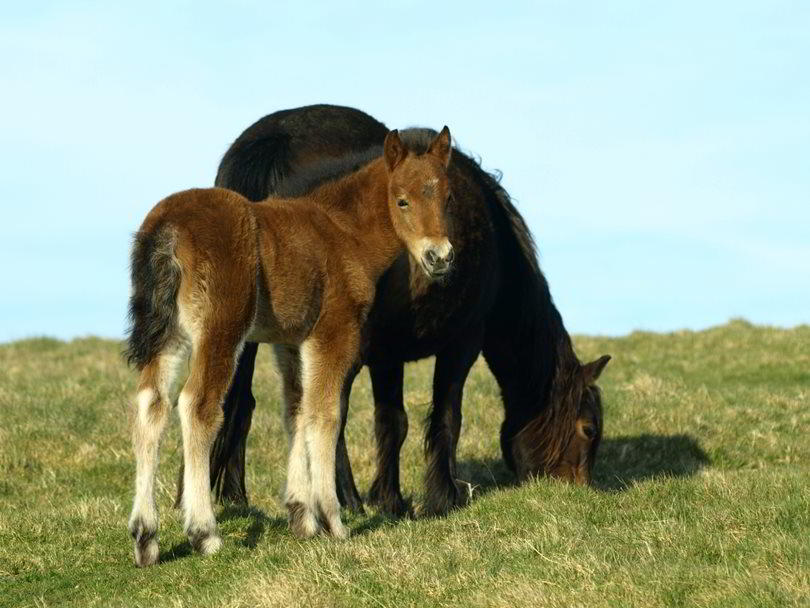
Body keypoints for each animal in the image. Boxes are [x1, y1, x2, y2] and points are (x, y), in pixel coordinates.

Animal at [126, 127, 454, 564]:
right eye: (402, 200)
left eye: (448, 197)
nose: (440, 257)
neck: (344, 231)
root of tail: (167, 226)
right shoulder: (333, 332)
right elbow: (326, 415)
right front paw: (332, 520)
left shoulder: (291, 341)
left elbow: (296, 410)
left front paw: (301, 516)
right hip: (221, 326)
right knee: (198, 406)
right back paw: (204, 532)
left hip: (171, 334)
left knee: (151, 403)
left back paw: (146, 536)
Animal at [189, 103, 608, 516]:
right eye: (588, 429)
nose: (578, 492)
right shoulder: (462, 340)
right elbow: (446, 416)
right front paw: (441, 498)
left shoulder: (387, 354)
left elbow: (392, 421)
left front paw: (390, 499)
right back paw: (344, 501)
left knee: (245, 403)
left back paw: (237, 497)